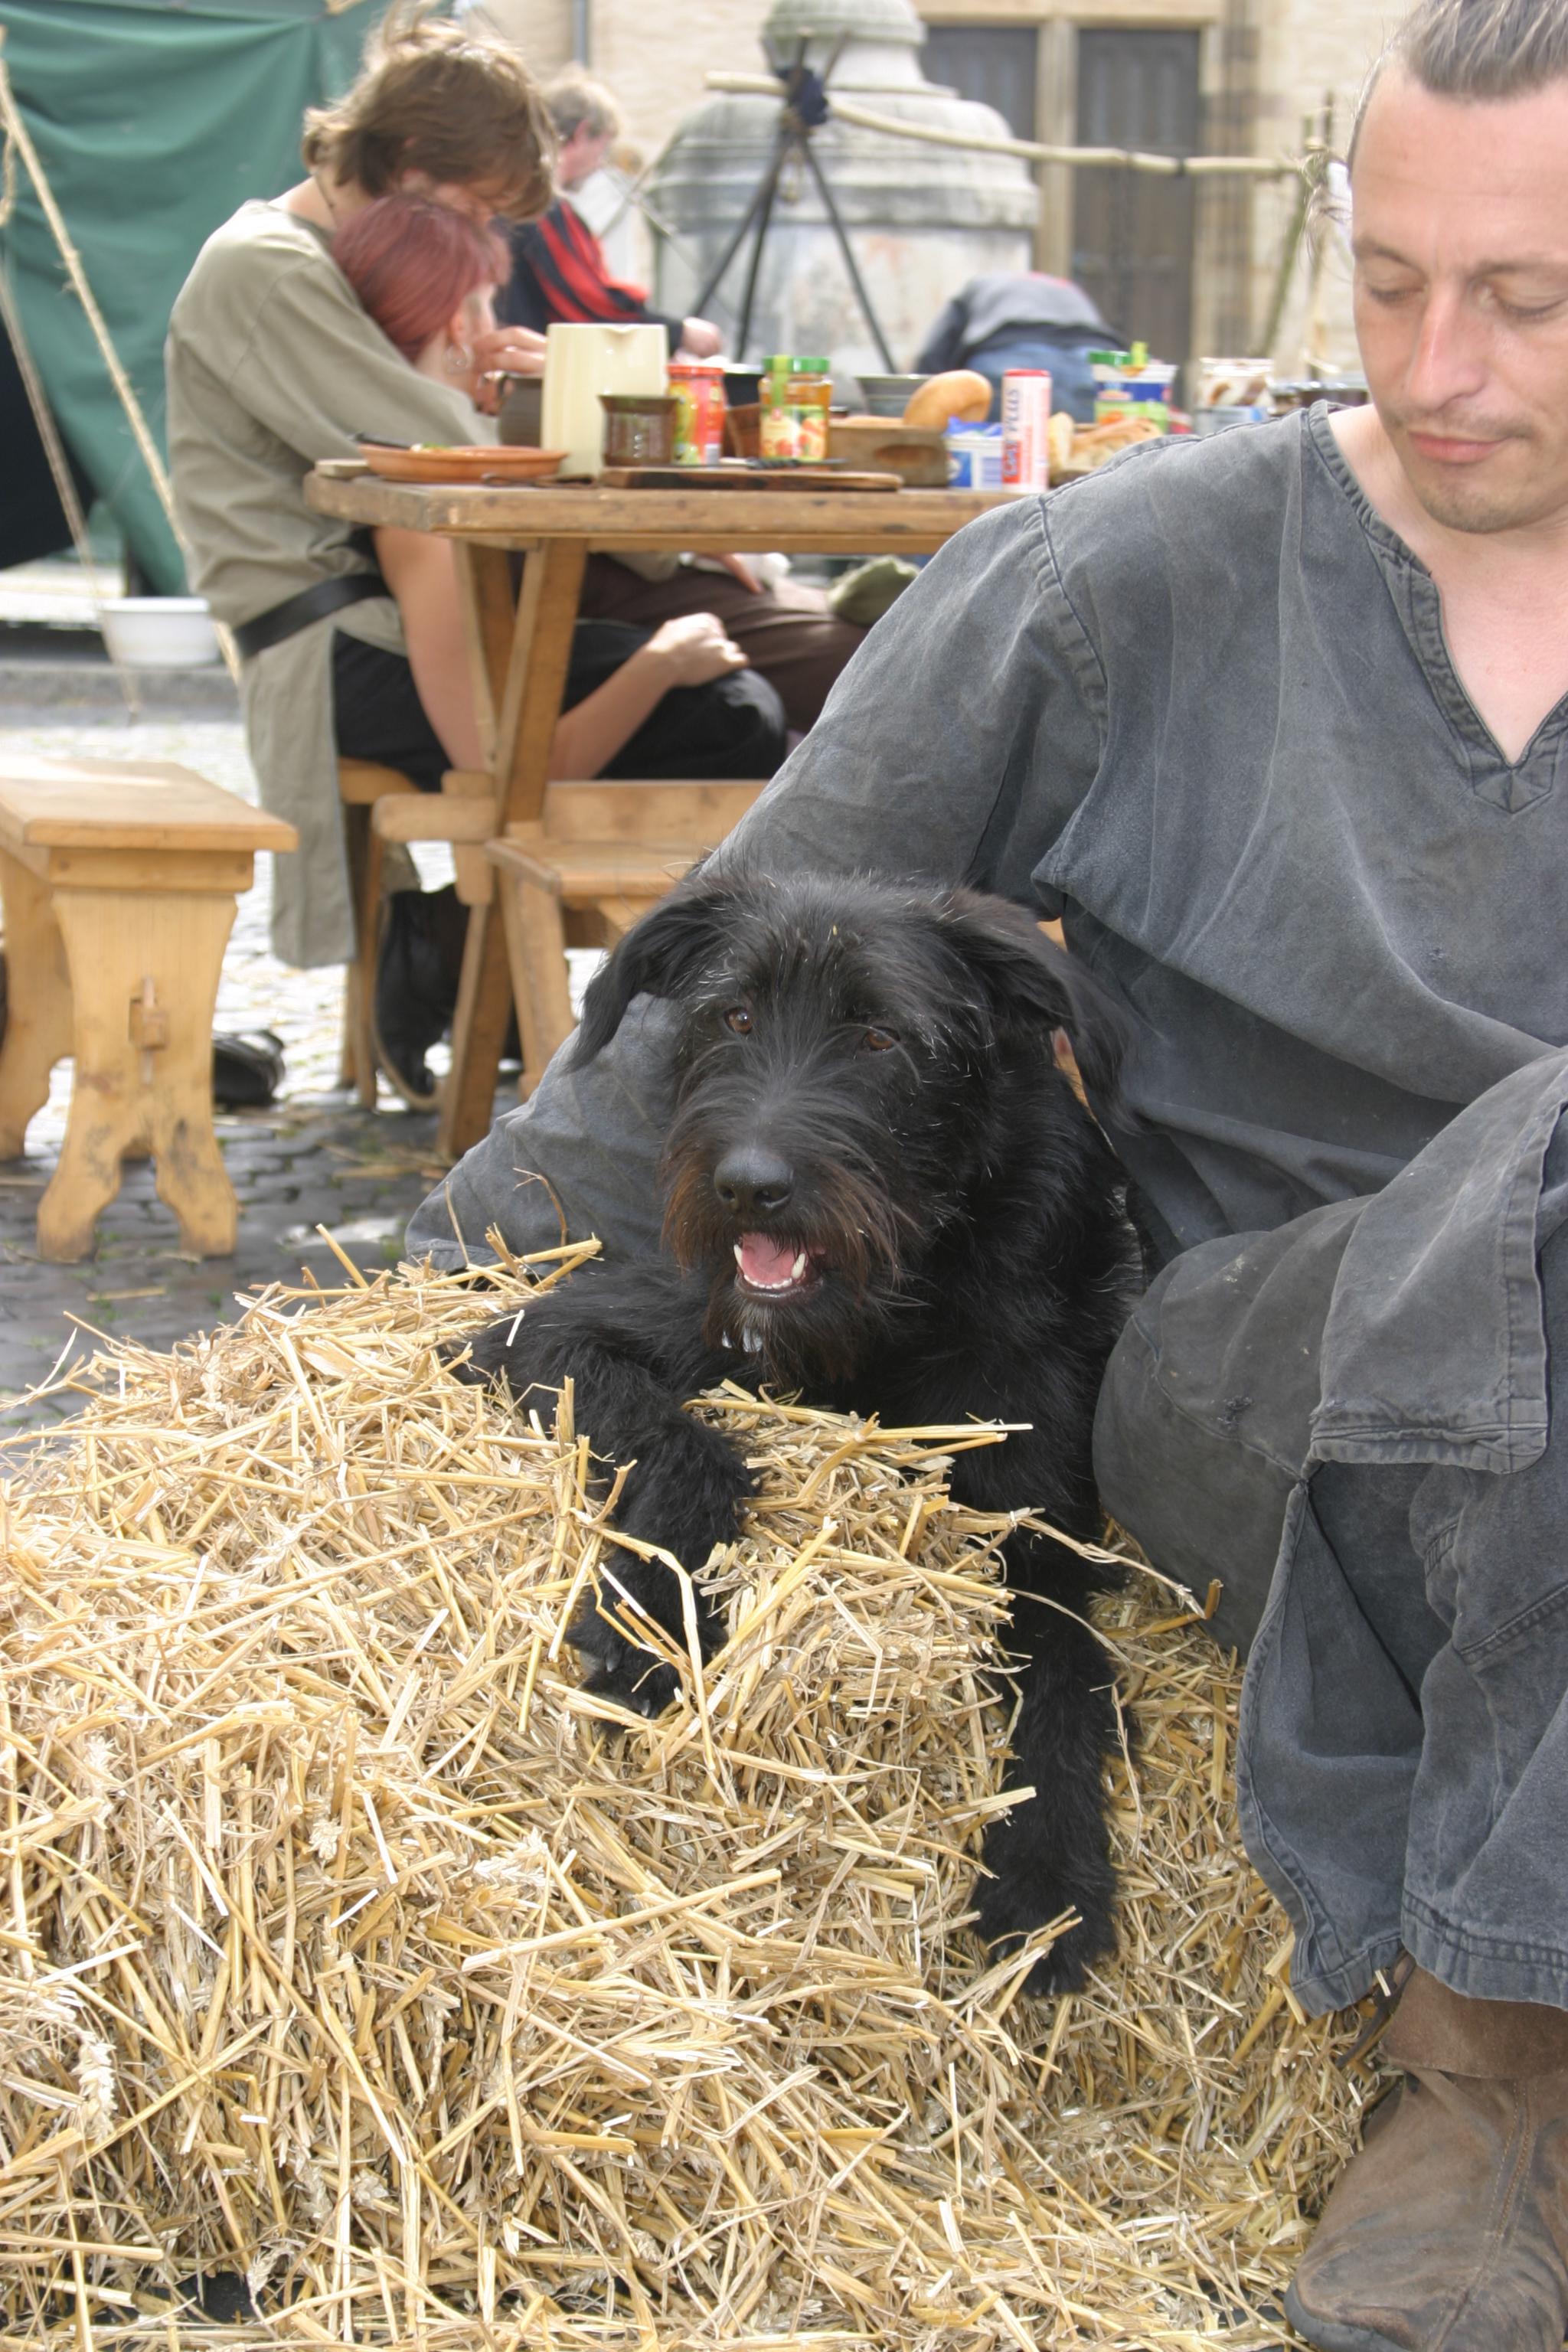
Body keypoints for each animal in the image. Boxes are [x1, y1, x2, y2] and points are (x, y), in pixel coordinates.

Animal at [450, 869, 1138, 1991]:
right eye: (732, 1017)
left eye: (882, 1036)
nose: (747, 1186)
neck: (897, 1308)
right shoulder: (541, 1336)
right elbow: (688, 1444)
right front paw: (652, 1625)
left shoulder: (1043, 1525)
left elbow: (1059, 1675)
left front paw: (1047, 1877)